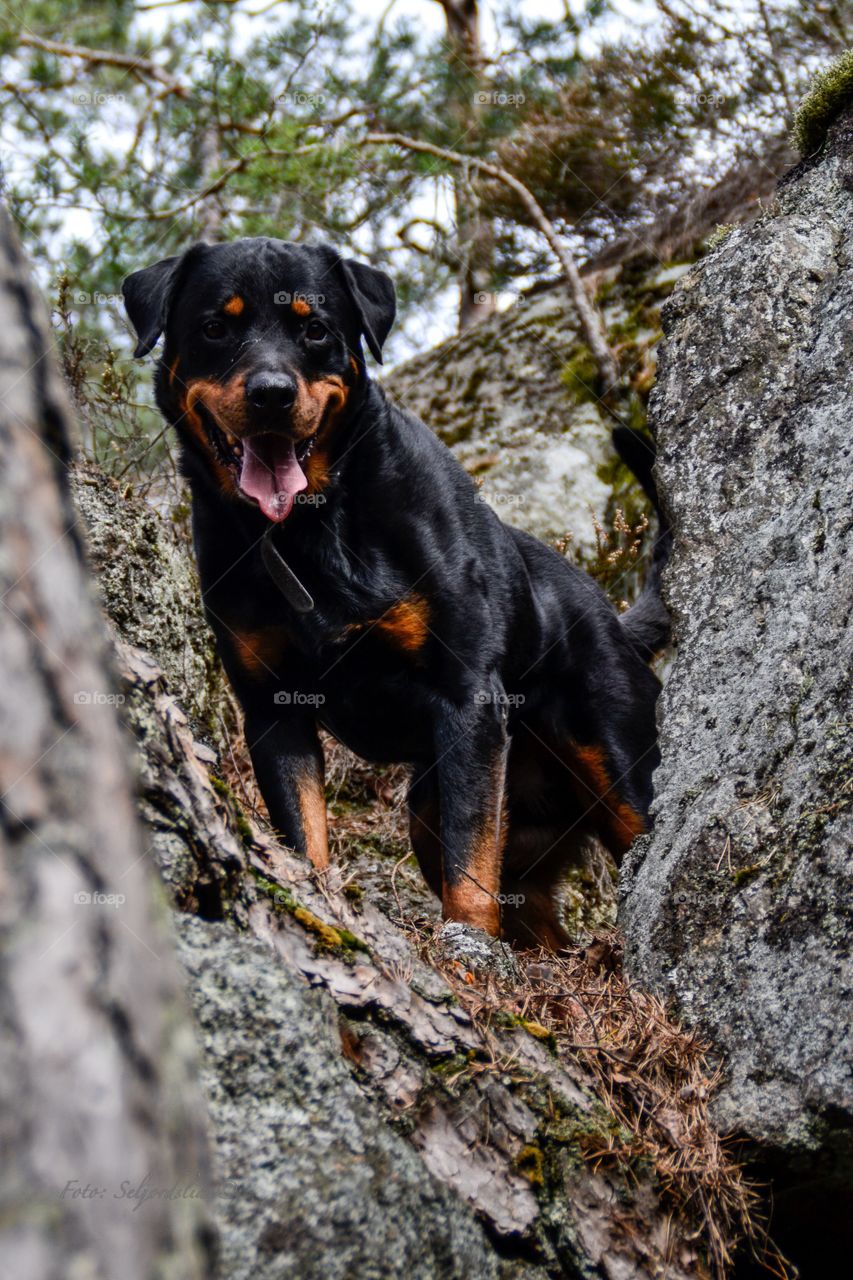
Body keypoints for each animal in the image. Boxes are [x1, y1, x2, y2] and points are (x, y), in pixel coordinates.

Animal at [122, 240, 666, 947]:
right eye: (215, 327)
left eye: (315, 331)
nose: (271, 394)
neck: (307, 531)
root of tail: (616, 623)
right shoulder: (274, 712)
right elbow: (306, 836)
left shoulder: (466, 699)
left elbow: (470, 870)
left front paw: (466, 955)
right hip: (448, 812)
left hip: (618, 771)